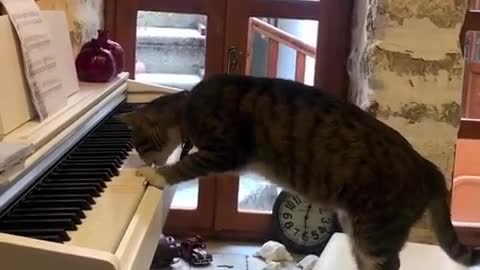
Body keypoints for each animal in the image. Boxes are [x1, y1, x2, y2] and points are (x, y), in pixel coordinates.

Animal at [118, 74, 478, 270]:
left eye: (140, 145)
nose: (142, 159)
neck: (188, 106)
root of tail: (428, 168)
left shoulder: (225, 150)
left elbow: (187, 164)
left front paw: (156, 175)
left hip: (376, 235)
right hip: (360, 232)